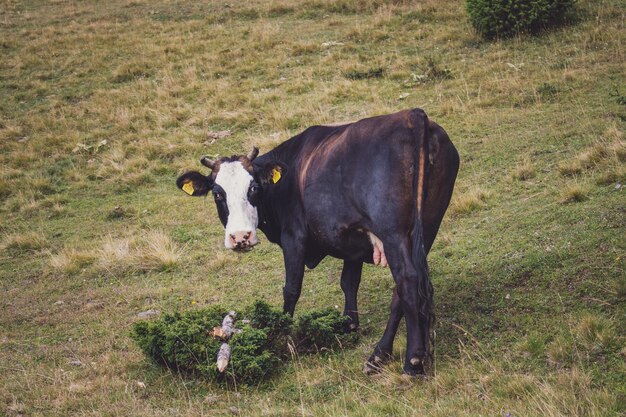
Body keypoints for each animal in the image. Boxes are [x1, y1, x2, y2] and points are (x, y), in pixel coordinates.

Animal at [176, 107, 458, 374]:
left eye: (254, 187)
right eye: (217, 193)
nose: (239, 237)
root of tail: (411, 116)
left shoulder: (294, 237)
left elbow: (291, 289)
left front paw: (283, 338)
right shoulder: (351, 240)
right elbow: (349, 282)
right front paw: (348, 323)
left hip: (393, 233)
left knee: (408, 280)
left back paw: (412, 361)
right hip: (427, 227)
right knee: (405, 288)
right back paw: (381, 355)